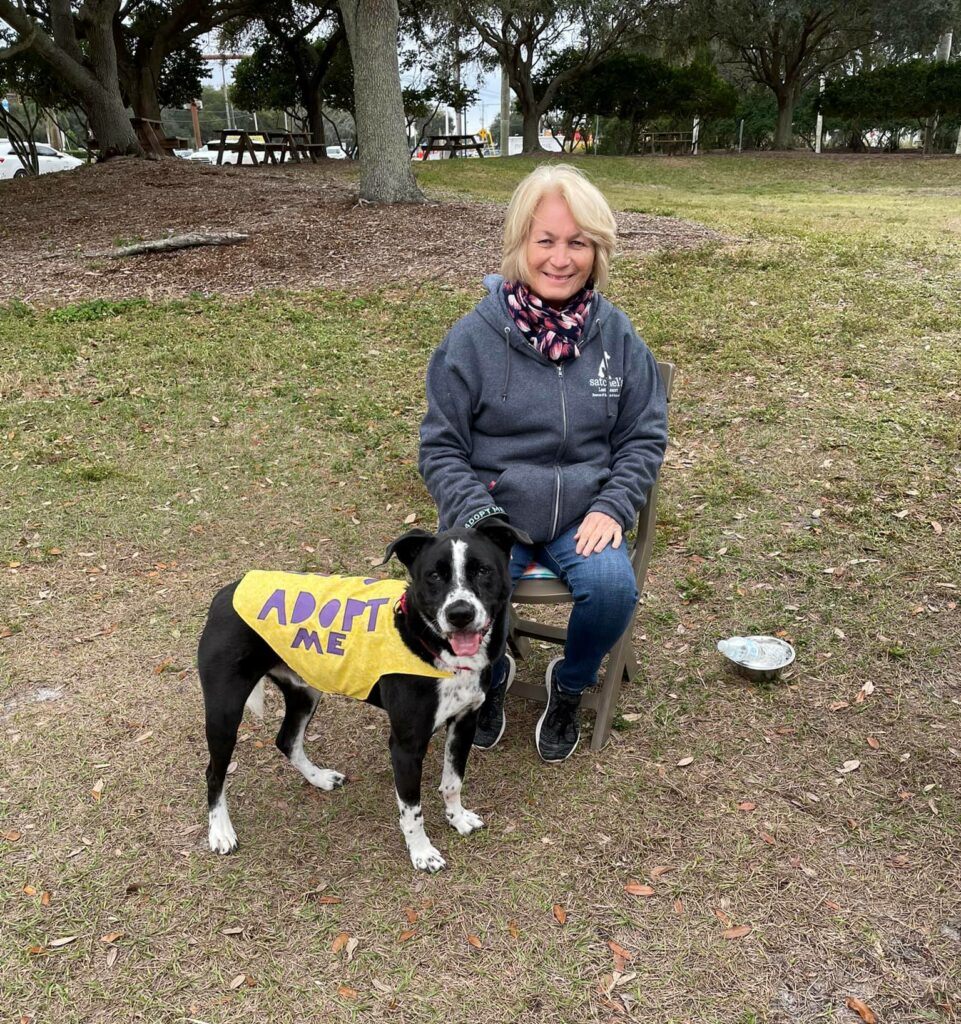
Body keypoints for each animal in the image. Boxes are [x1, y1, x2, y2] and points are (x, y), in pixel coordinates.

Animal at [194, 520, 524, 872]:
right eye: (434, 576)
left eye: (482, 570)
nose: (459, 613)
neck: (427, 642)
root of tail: (226, 593)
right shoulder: (406, 745)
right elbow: (412, 810)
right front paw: (421, 853)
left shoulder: (464, 722)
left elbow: (453, 782)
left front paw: (457, 818)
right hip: (225, 710)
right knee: (214, 772)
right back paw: (220, 831)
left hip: (305, 690)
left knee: (287, 740)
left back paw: (319, 778)